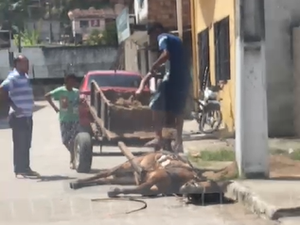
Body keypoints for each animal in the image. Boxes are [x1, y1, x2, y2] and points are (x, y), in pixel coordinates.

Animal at [70, 142, 234, 199]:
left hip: (125, 177)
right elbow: (141, 187)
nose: (187, 189)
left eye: (205, 195)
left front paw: (115, 191)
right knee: (104, 173)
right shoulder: (158, 175)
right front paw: (114, 191)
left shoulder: (156, 186)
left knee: (104, 179)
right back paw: (77, 182)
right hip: (126, 166)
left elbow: (142, 189)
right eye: (200, 188)